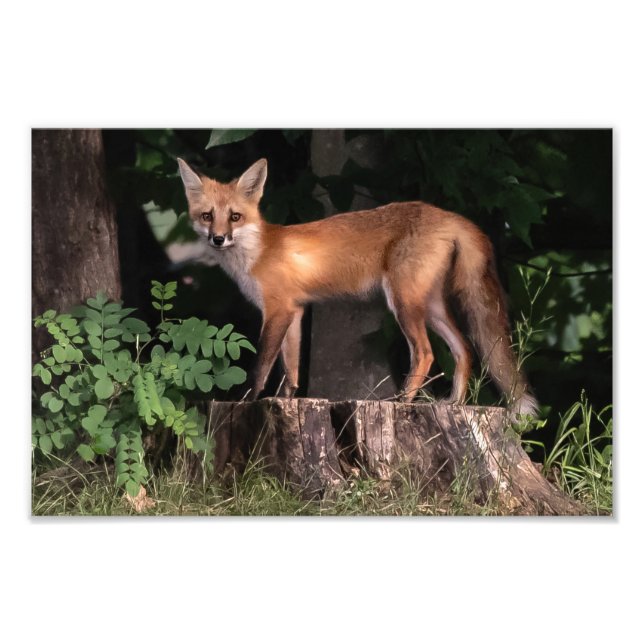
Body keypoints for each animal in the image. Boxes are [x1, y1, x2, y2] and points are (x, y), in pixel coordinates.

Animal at [177, 157, 538, 416]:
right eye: (207, 216)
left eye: (235, 217)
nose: (218, 239)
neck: (258, 250)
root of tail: (448, 215)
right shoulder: (294, 310)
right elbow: (291, 369)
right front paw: (285, 402)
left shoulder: (277, 310)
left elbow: (261, 366)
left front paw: (246, 401)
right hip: (430, 306)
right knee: (463, 349)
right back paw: (455, 404)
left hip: (403, 302)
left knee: (426, 353)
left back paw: (401, 402)